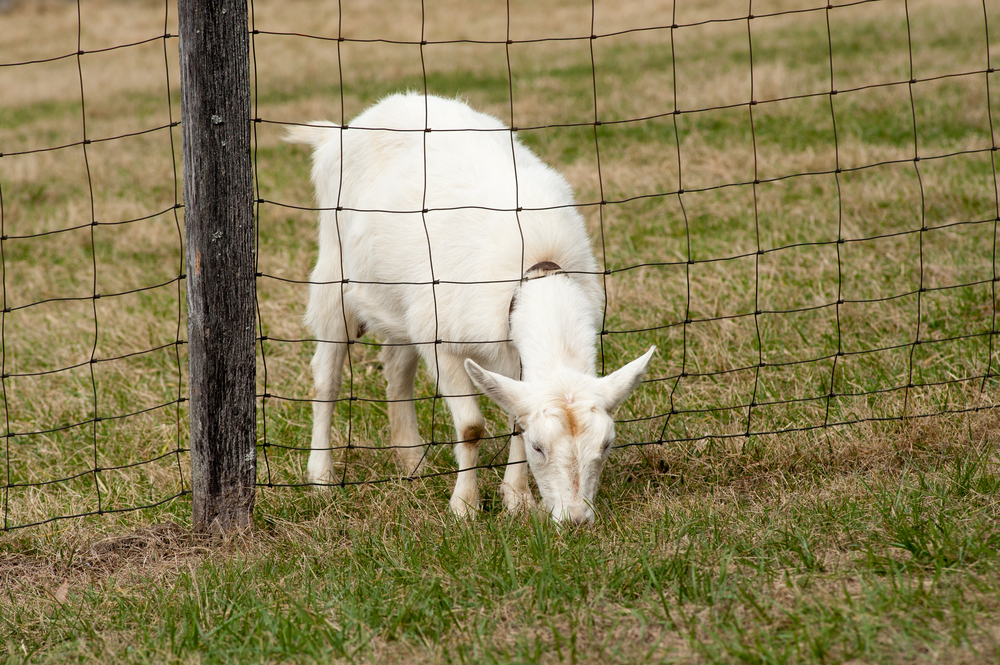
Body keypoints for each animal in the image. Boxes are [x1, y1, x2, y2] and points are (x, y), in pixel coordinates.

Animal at [288, 91, 656, 520]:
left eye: (606, 445)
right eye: (540, 448)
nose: (576, 520)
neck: (536, 268)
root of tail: (342, 131)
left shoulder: (507, 353)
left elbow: (514, 417)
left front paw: (517, 499)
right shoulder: (443, 342)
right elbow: (471, 428)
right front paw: (464, 506)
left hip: (405, 302)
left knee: (396, 366)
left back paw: (412, 460)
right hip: (335, 277)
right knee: (325, 377)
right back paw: (322, 476)